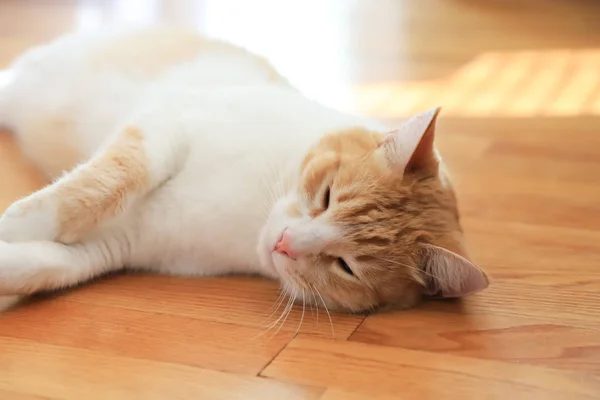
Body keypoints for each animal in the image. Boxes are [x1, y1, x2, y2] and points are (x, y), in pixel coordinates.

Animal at [0, 27, 490, 316]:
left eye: (345, 266)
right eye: (327, 196)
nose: (286, 242)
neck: (251, 212)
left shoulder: (118, 245)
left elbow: (44, 265)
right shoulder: (165, 128)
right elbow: (102, 185)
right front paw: (16, 222)